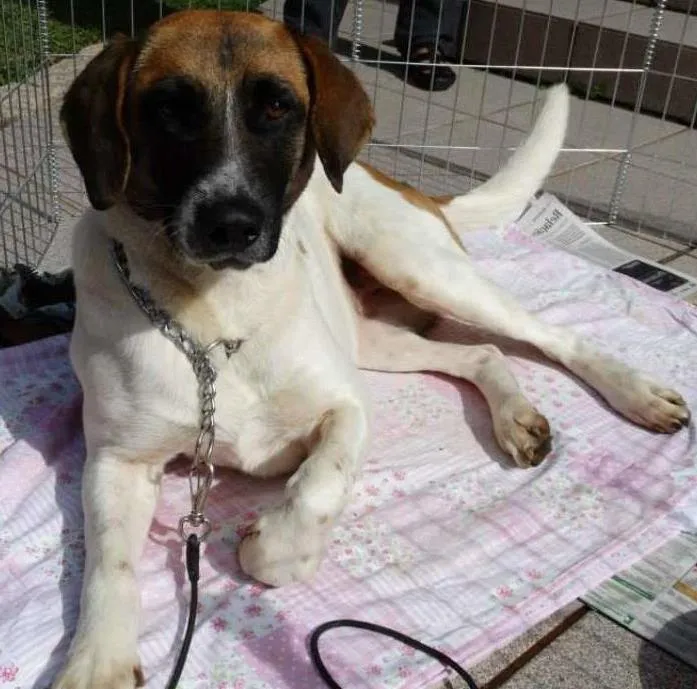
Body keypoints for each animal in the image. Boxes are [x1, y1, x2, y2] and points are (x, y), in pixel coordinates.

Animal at [54, 10, 690, 689]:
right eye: (169, 109)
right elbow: (108, 566)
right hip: (374, 337)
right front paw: (98, 660)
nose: (232, 224)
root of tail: (404, 183)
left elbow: (316, 489)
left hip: (417, 267)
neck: (214, 315)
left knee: (548, 334)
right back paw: (515, 417)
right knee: (481, 355)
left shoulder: (347, 406)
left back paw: (638, 393)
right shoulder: (117, 461)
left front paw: (270, 544)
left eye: (277, 107)